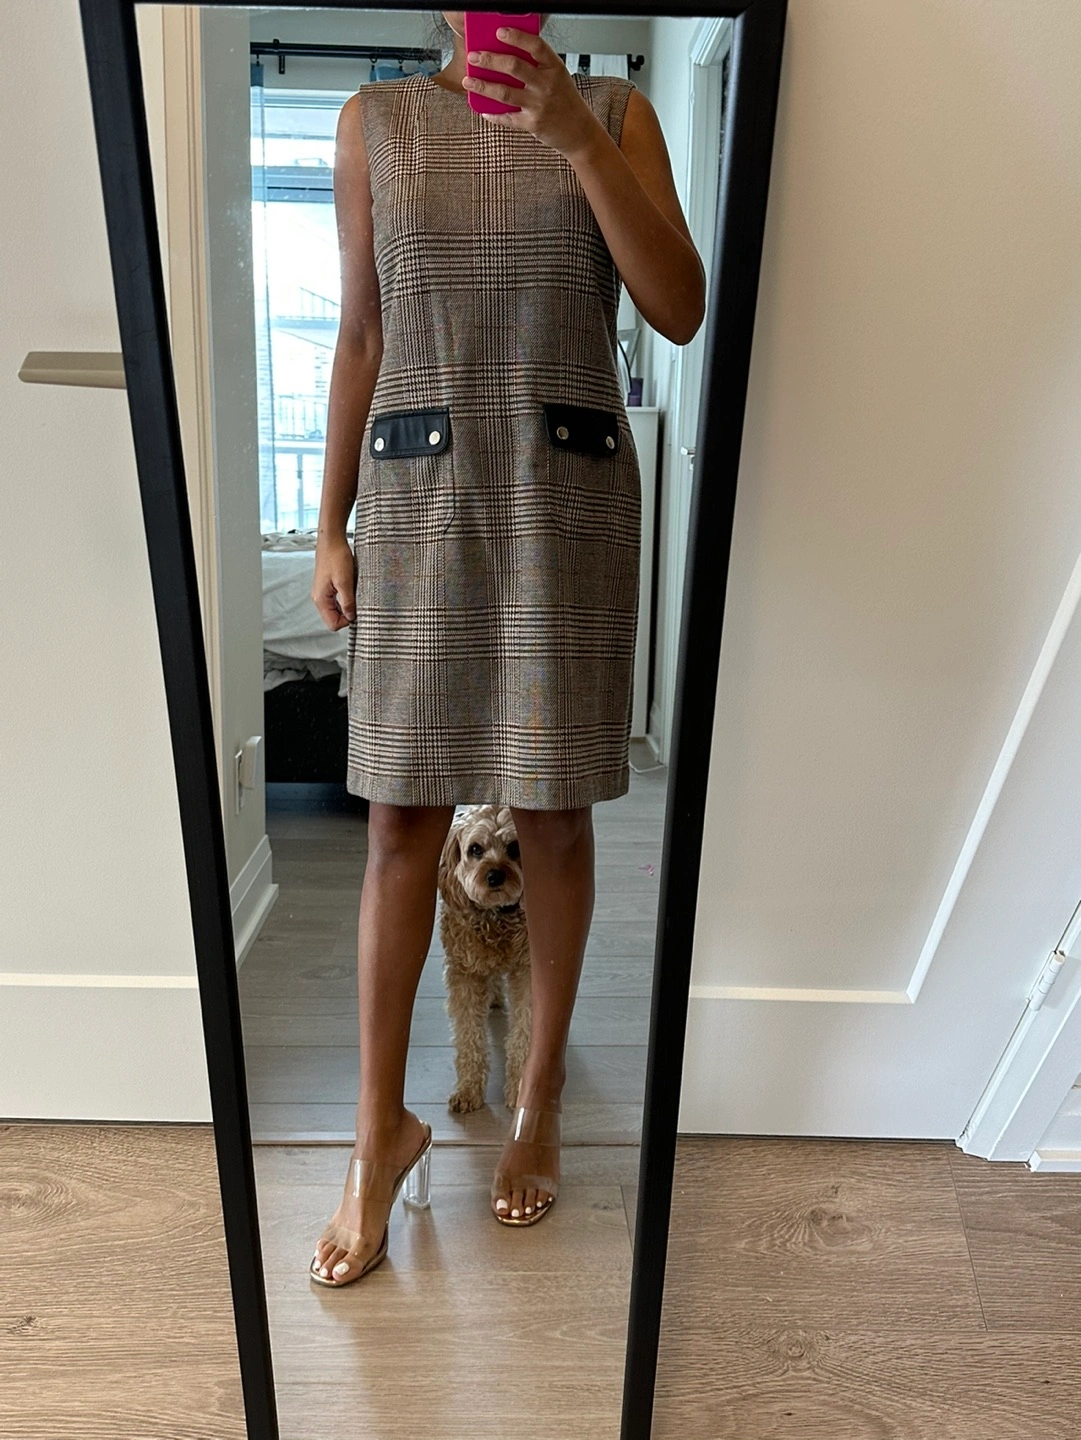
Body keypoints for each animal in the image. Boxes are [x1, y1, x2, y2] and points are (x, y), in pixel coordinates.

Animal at [437, 804, 531, 1113]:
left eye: (514, 847)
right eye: (475, 849)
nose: (494, 876)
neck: (496, 917)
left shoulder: (527, 970)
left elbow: (524, 1032)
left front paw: (520, 1090)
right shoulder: (464, 972)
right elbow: (468, 1037)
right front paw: (468, 1089)